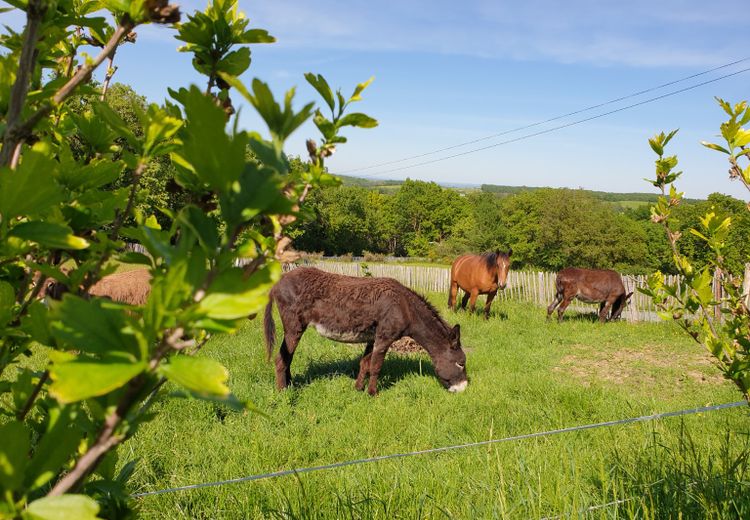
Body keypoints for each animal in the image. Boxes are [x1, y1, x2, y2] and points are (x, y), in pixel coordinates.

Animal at [262, 268, 468, 394]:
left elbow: (365, 364)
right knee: (281, 359)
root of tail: (278, 281)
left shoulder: (372, 338)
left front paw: (358, 388)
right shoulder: (385, 337)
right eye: (461, 363)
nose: (464, 388)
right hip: (294, 327)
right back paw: (283, 393)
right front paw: (373, 393)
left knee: (287, 358)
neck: (406, 308)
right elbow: (376, 366)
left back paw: (290, 385)